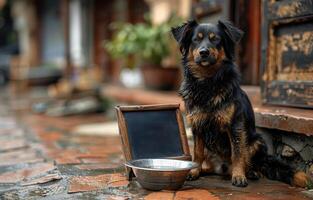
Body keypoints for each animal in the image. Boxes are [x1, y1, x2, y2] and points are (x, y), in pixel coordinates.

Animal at [171, 19, 308, 187]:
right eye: (196, 39)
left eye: (216, 39)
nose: (204, 52)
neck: (207, 82)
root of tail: (222, 168)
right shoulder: (197, 125)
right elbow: (197, 153)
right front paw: (194, 171)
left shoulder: (235, 125)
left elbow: (237, 153)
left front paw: (238, 176)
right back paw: (204, 170)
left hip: (256, 141)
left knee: (254, 163)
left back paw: (250, 172)